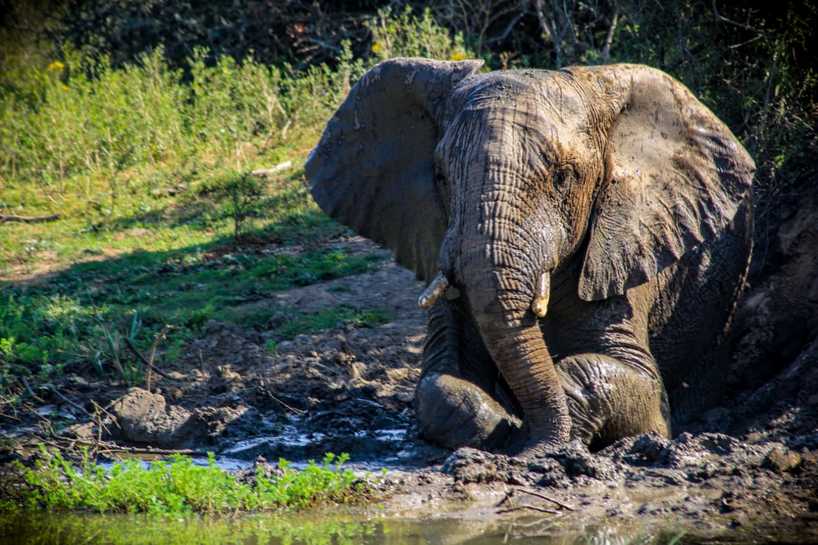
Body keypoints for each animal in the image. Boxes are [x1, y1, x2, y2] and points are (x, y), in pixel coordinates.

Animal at [304, 57, 752, 456]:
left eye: (563, 178)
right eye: (441, 177)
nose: (531, 441)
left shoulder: (627, 249)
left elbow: (642, 386)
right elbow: (439, 382)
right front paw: (503, 427)